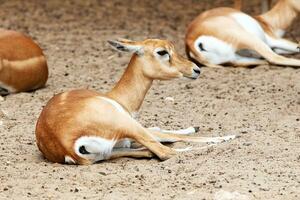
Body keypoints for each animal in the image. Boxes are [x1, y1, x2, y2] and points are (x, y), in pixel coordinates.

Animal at [35, 38, 236, 165]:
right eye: (162, 51)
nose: (196, 70)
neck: (117, 98)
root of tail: (66, 145)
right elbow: (166, 134)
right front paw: (225, 136)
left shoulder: (126, 141)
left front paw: (195, 127)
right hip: (127, 125)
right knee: (166, 152)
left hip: (107, 150)